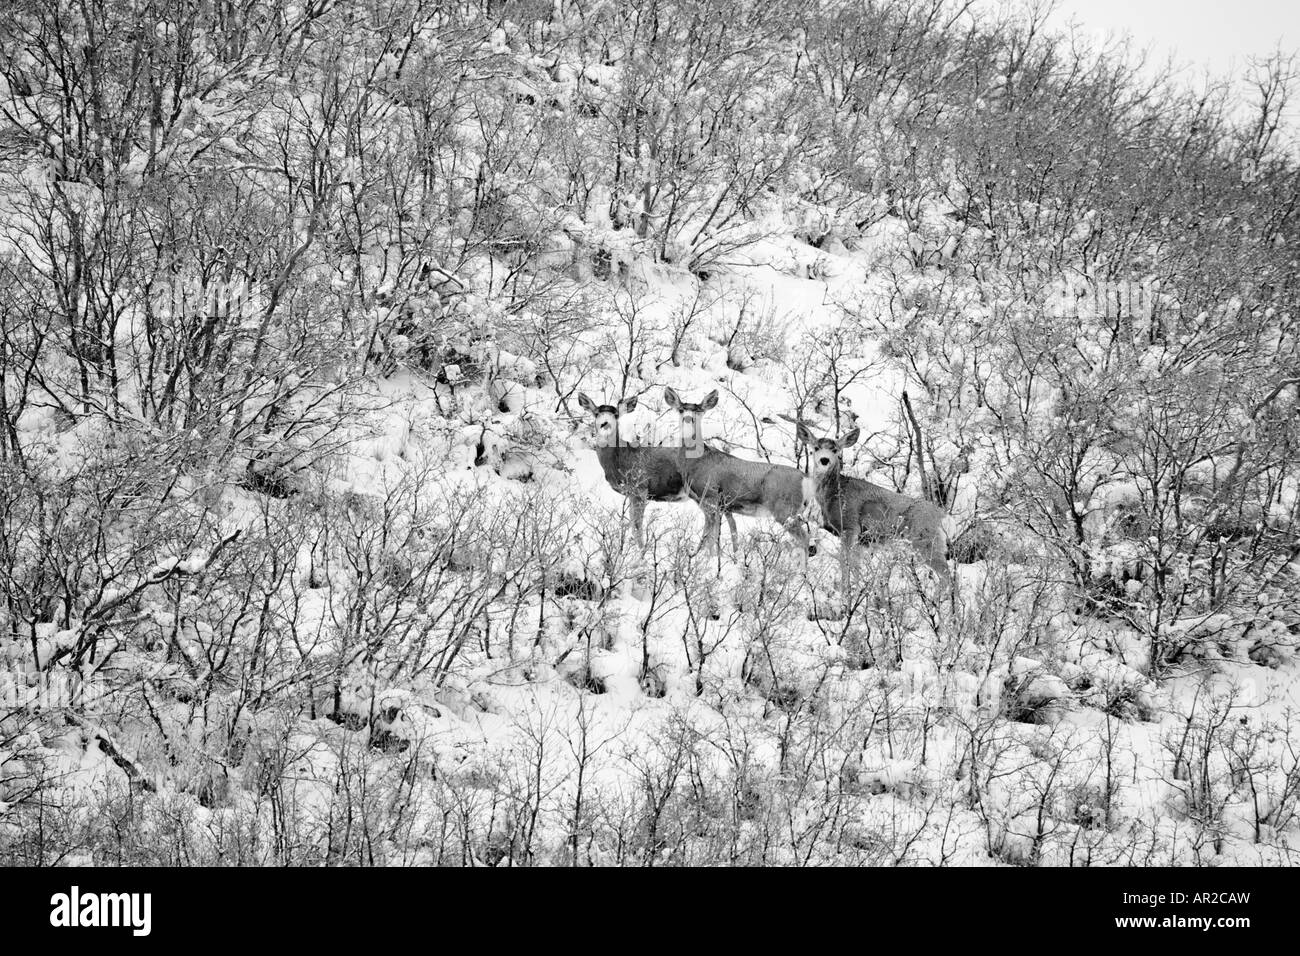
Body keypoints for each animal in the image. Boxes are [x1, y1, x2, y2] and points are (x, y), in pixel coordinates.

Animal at [577, 393, 690, 546]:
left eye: (616, 414)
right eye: (596, 413)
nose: (605, 424)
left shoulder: (640, 488)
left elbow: (637, 527)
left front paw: (640, 551)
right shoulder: (630, 494)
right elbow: (632, 524)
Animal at [663, 387, 815, 564]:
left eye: (699, 411)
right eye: (681, 409)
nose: (688, 419)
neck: (697, 461)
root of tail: (806, 480)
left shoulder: (711, 499)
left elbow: (711, 538)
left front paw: (709, 561)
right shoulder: (716, 506)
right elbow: (713, 535)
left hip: (784, 510)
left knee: (805, 540)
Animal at [795, 422, 950, 594]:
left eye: (835, 449)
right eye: (815, 447)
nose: (824, 460)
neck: (835, 492)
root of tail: (944, 517)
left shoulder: (849, 527)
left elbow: (845, 563)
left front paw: (845, 594)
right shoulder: (861, 541)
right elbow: (856, 568)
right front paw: (858, 591)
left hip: (926, 540)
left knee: (948, 575)